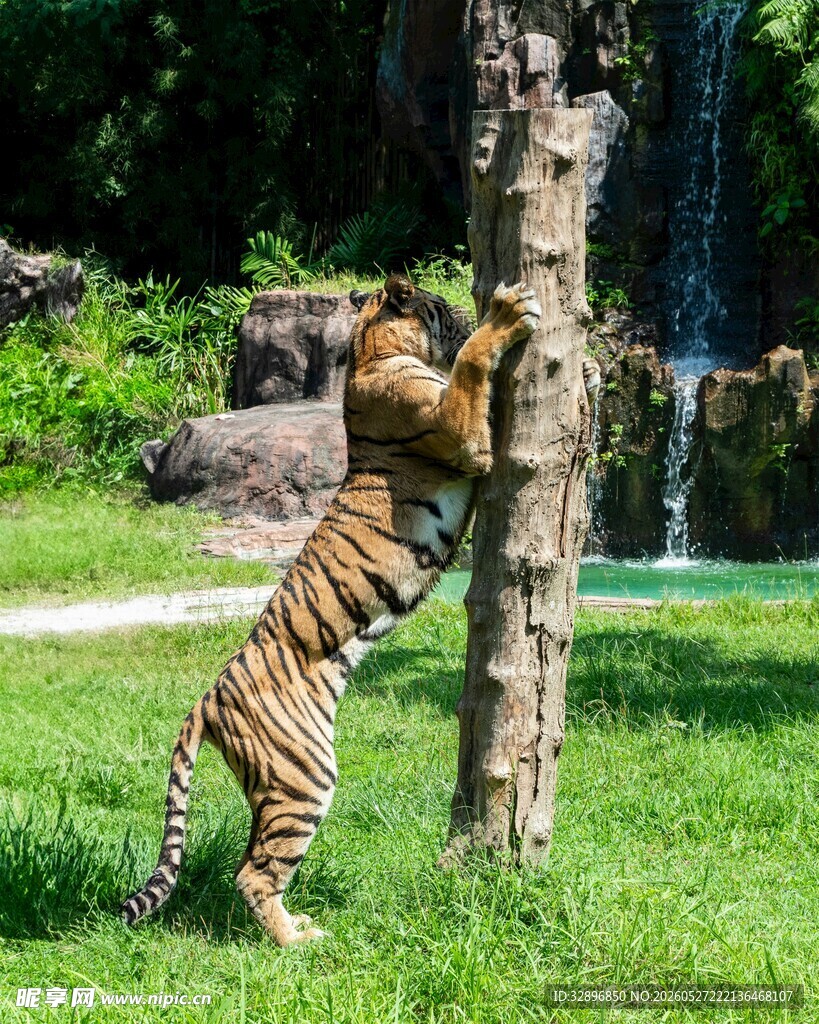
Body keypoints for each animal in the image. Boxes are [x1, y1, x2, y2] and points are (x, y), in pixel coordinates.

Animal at [122, 274, 598, 946]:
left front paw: (591, 373)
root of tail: (205, 702)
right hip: (303, 777)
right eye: (444, 307)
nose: (467, 306)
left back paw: (295, 924)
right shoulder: (460, 432)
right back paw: (298, 941)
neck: (371, 351)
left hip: (274, 785)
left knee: (250, 862)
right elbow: (473, 361)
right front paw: (507, 314)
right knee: (253, 875)